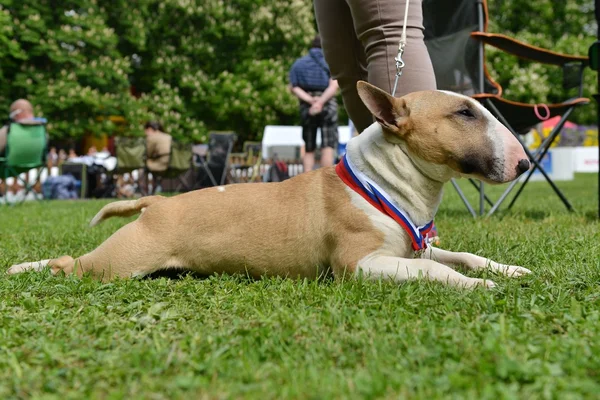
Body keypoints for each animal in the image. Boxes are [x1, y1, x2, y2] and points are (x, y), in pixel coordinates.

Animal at [8, 81, 528, 288]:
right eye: (464, 113)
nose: (524, 162)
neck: (381, 183)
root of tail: (157, 201)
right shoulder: (360, 264)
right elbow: (438, 271)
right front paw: (480, 286)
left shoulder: (411, 249)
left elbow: (460, 255)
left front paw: (508, 270)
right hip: (119, 263)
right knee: (68, 264)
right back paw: (21, 268)